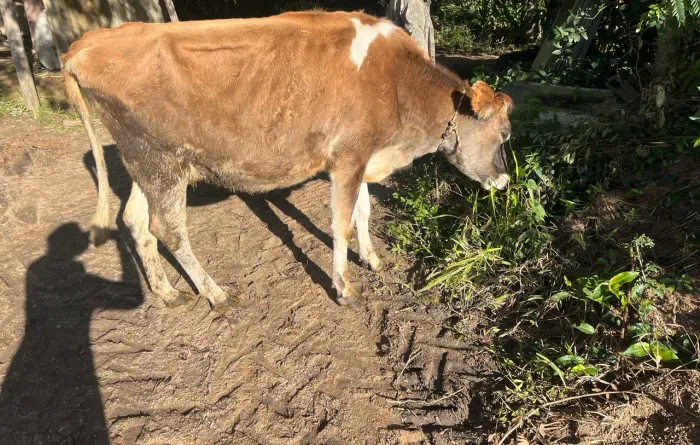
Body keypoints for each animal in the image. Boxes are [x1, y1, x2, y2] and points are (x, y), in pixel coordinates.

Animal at [62, 10, 513, 310]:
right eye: (505, 134)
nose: (505, 182)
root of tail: (86, 45)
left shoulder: (363, 156)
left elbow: (364, 212)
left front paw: (372, 258)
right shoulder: (348, 158)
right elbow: (342, 223)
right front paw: (344, 288)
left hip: (149, 163)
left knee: (137, 221)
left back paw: (165, 291)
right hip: (160, 162)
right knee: (168, 229)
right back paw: (215, 293)